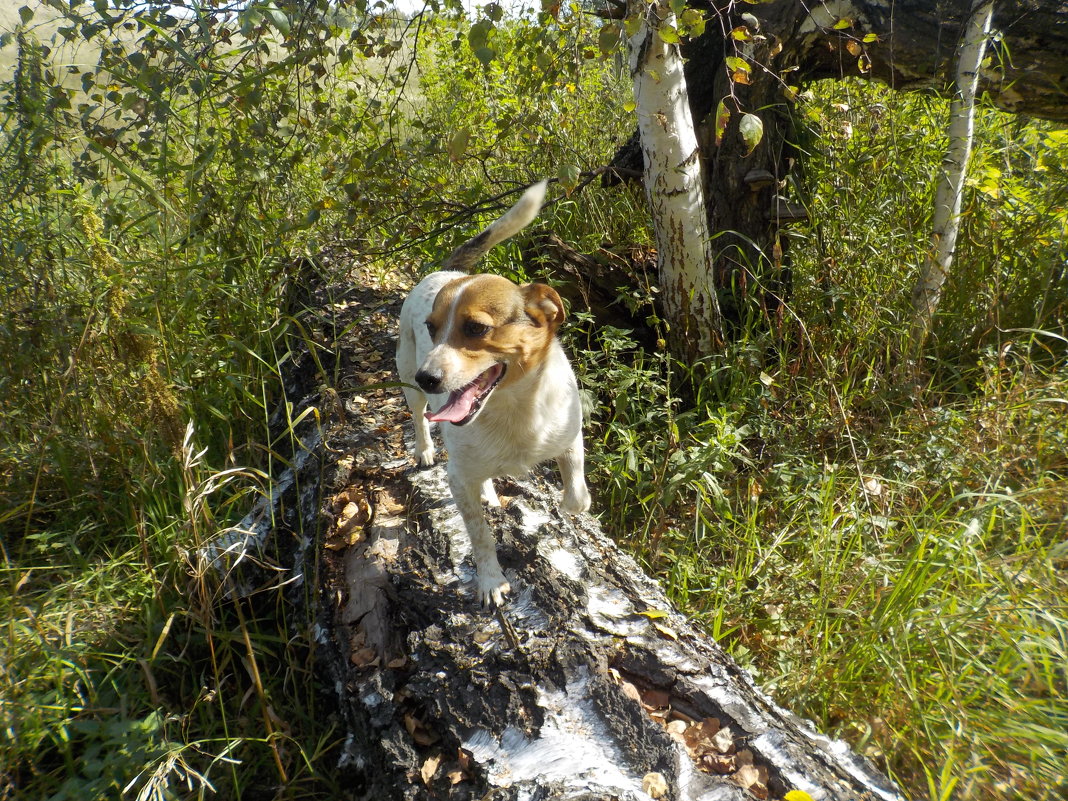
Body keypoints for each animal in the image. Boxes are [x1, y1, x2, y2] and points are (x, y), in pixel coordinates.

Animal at [397, 181, 593, 606]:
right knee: (419, 418)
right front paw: (490, 580)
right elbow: (480, 535)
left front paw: (569, 508)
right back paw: (424, 449)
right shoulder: (457, 480)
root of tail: (448, 269)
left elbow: (577, 494)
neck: (515, 408)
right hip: (405, 376)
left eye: (476, 328)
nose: (427, 377)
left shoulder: (570, 438)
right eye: (432, 328)